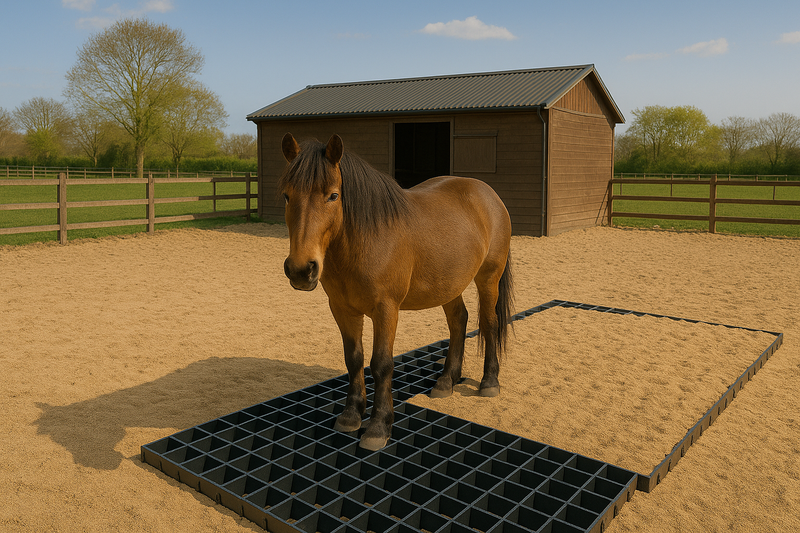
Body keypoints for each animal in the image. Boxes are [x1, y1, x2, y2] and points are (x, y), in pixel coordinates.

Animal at [279, 132, 514, 451]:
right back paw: (446, 381)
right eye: (287, 195)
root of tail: (488, 194)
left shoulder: (386, 309)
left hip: (488, 276)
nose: (301, 270)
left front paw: (378, 427)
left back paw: (489, 382)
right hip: (449, 283)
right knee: (458, 321)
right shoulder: (342, 308)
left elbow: (381, 364)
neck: (366, 239)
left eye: (333, 195)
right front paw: (351, 415)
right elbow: (353, 359)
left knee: (489, 323)